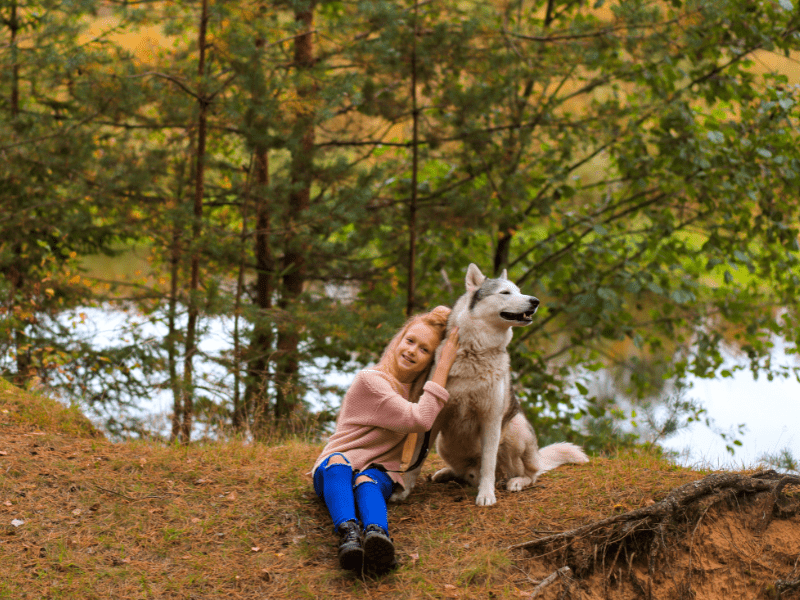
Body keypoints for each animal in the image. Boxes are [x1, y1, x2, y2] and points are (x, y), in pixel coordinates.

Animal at [390, 262, 588, 506]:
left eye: (519, 291)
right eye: (505, 293)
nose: (535, 301)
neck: (475, 352)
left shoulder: (491, 419)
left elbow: (488, 464)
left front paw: (486, 495)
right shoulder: (432, 419)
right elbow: (417, 459)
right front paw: (403, 492)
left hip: (515, 430)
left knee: (529, 474)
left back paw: (515, 482)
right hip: (444, 444)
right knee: (463, 472)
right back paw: (447, 474)